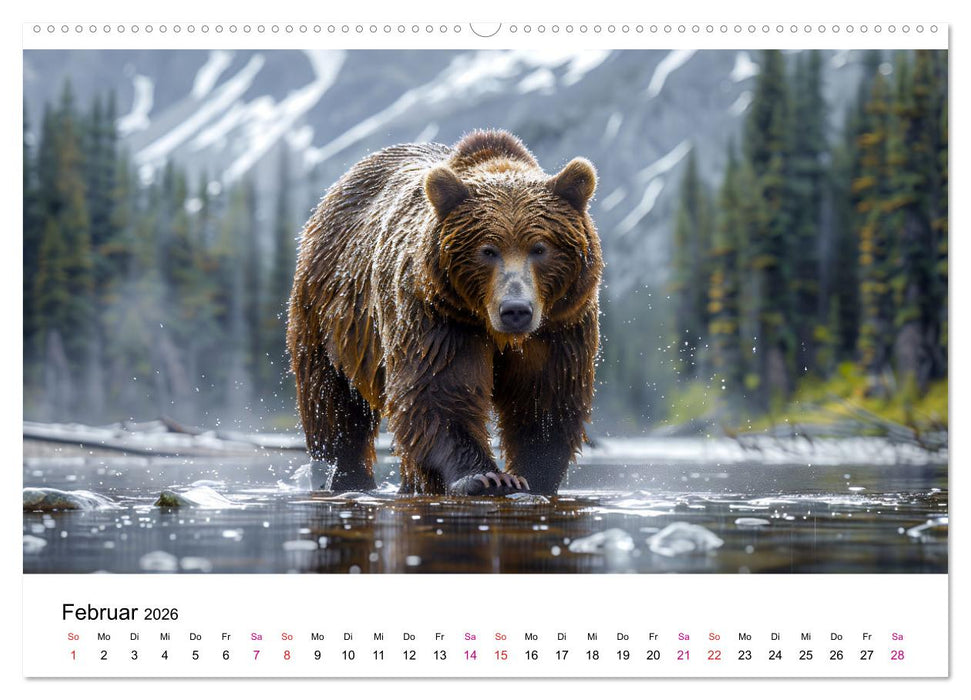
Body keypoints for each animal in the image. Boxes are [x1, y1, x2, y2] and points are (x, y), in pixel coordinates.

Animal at [287, 129, 602, 496]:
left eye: (540, 248)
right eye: (488, 250)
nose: (515, 310)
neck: (490, 326)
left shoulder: (559, 326)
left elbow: (545, 398)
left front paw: (532, 477)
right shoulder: (437, 315)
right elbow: (437, 390)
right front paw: (486, 476)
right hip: (330, 316)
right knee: (334, 406)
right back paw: (347, 477)